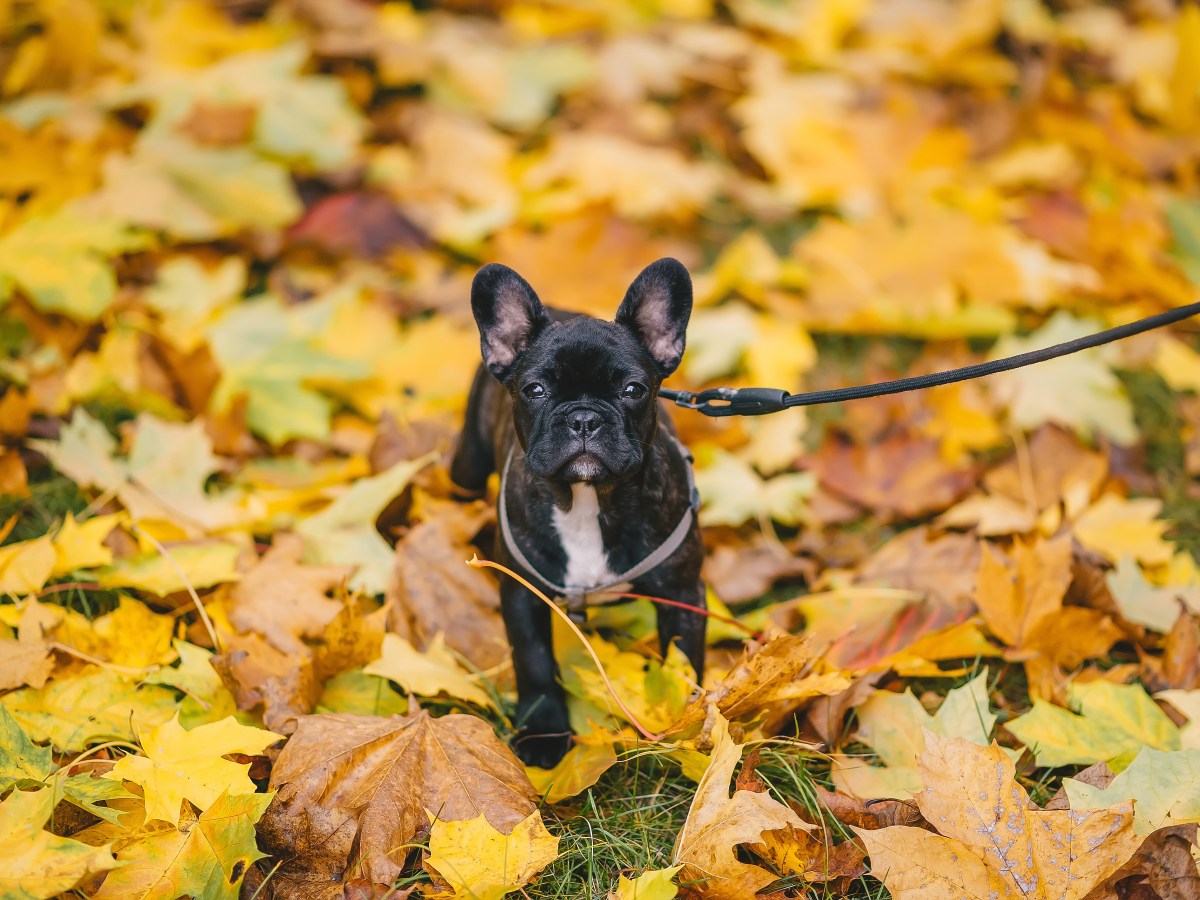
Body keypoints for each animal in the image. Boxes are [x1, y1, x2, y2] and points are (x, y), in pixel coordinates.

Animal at [453, 259, 705, 768]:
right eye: (534, 389)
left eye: (633, 389)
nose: (584, 418)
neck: (587, 499)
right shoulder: (523, 595)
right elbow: (533, 662)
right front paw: (544, 735)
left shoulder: (683, 594)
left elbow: (684, 662)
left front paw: (685, 723)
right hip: (466, 463)